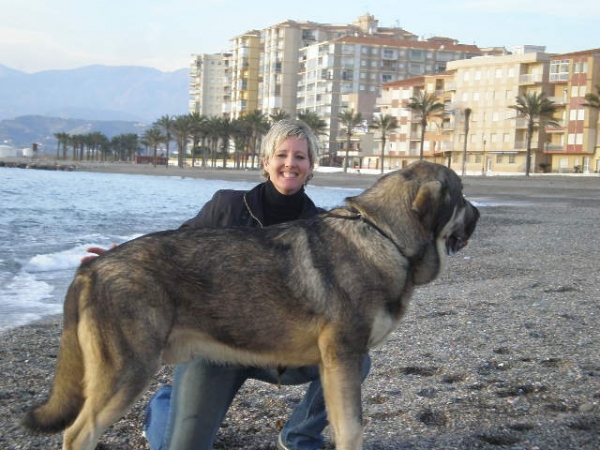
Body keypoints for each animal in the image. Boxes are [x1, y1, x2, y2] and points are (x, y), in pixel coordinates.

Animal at [22, 162, 478, 450]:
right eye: (461, 196)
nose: (477, 214)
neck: (384, 235)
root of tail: (91, 267)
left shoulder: (338, 365)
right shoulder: (345, 357)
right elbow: (352, 430)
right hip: (127, 374)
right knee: (78, 434)